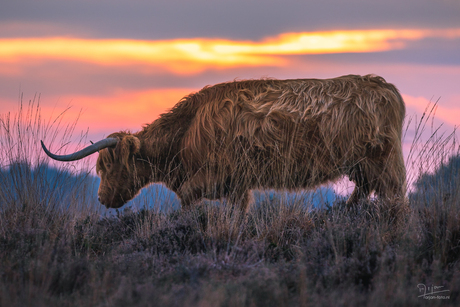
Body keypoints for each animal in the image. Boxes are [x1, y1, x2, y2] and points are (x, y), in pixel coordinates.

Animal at [40, 75, 406, 211]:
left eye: (106, 167)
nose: (102, 199)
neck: (186, 133)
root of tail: (382, 85)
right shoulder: (238, 185)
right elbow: (237, 213)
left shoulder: (216, 174)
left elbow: (189, 198)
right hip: (361, 165)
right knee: (364, 190)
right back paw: (341, 214)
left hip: (383, 161)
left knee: (395, 196)